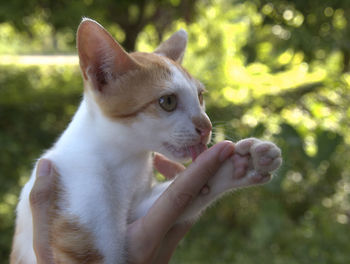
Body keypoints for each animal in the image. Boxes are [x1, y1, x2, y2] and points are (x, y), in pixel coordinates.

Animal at [10, 19, 284, 264]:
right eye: (167, 102)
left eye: (200, 96)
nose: (206, 127)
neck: (125, 162)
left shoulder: (138, 209)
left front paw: (242, 163)